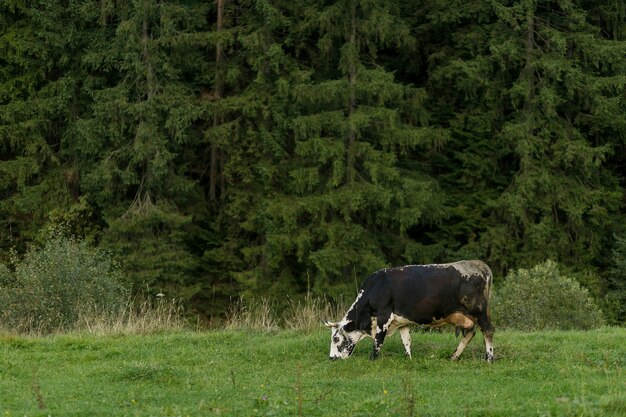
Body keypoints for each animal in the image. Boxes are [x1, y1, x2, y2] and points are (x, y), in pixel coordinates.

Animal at [322, 260, 492, 360]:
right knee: (470, 333)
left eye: (336, 338)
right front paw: (409, 359)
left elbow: (378, 341)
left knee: (488, 330)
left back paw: (489, 358)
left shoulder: (384, 317)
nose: (331, 358)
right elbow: (406, 341)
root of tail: (480, 264)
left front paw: (372, 360)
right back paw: (454, 356)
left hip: (479, 311)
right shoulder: (402, 322)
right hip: (466, 316)